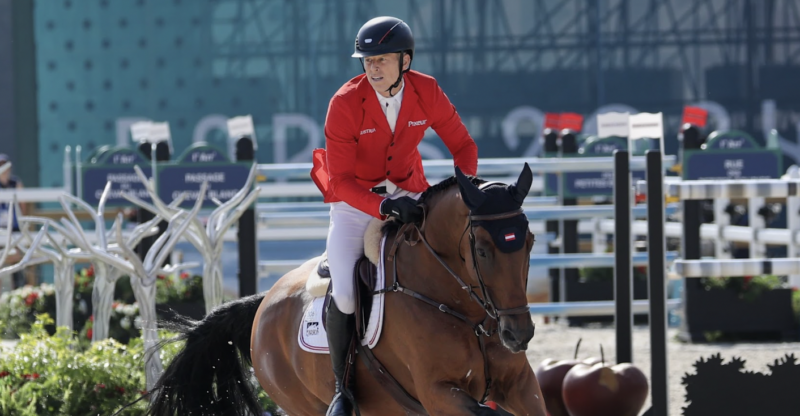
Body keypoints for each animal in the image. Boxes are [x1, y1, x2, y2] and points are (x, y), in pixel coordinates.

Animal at [144, 164, 548, 414]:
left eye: (529, 241)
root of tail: (262, 304)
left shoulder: (521, 385)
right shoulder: (439, 393)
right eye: (482, 250)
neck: (466, 312)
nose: (518, 334)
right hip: (303, 402)